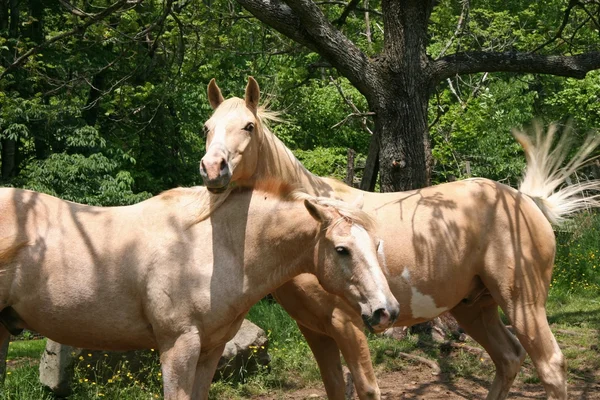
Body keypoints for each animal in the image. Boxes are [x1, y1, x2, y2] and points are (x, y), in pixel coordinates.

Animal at [0, 182, 398, 400]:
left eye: (377, 244)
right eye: (342, 250)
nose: (387, 311)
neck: (212, 247)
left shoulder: (210, 349)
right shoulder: (178, 346)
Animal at [200, 76, 600, 398]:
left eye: (249, 126)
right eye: (207, 127)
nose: (213, 168)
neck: (312, 230)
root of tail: (526, 202)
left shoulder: (348, 325)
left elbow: (366, 388)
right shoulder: (315, 330)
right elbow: (334, 389)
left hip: (523, 304)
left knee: (550, 365)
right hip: (475, 307)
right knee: (509, 358)